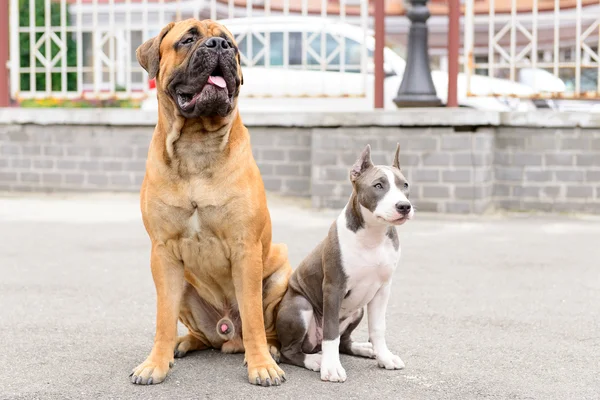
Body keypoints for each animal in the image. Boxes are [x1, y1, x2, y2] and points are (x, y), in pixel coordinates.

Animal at [130, 19, 292, 388]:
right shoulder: (162, 253)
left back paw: (270, 349)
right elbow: (163, 318)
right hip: (186, 289)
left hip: (280, 269)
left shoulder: (246, 249)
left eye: (231, 44)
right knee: (201, 335)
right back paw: (182, 344)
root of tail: (228, 334)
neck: (196, 142)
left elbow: (253, 315)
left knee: (262, 325)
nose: (219, 46)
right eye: (187, 39)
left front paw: (261, 365)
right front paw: (155, 363)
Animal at [276, 143, 412, 382]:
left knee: (344, 342)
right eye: (378, 185)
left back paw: (362, 348)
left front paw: (384, 358)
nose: (404, 206)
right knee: (290, 351)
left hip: (357, 311)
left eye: (404, 185)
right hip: (300, 306)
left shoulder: (383, 289)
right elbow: (330, 333)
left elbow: (378, 327)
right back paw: (315, 360)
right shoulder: (334, 288)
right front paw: (331, 368)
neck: (373, 235)